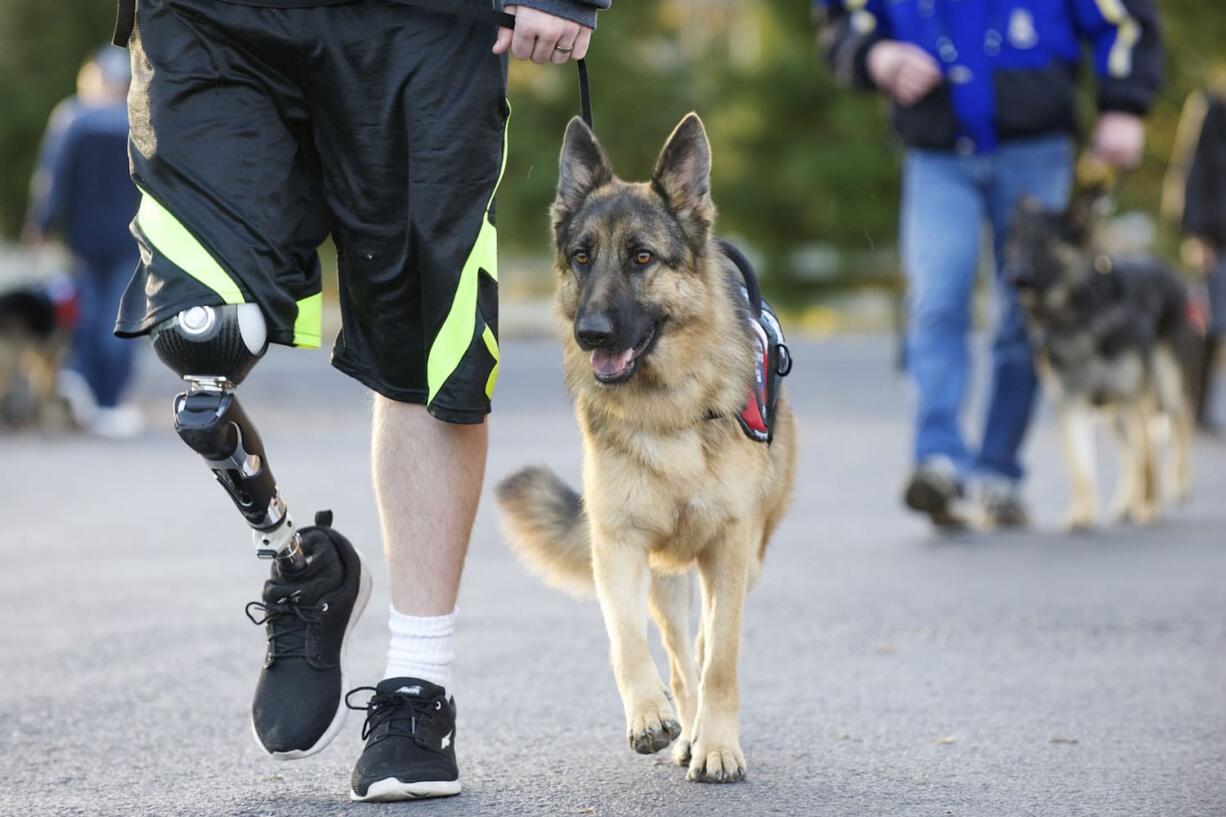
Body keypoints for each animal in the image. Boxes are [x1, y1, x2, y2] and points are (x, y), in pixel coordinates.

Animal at [495, 115, 794, 785]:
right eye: (582, 257)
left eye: (642, 258)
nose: (591, 334)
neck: (669, 408)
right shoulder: (619, 545)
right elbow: (626, 639)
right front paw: (651, 716)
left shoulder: (730, 548)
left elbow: (721, 659)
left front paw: (719, 746)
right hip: (664, 575)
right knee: (678, 654)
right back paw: (681, 727)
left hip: (743, 560)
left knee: (705, 647)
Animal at [1005, 197, 1196, 527]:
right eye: (1019, 240)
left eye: (1048, 240)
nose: (1017, 277)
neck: (1076, 315)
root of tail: (1165, 266)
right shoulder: (1071, 402)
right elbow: (1080, 468)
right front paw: (1082, 514)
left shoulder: (1139, 397)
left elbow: (1148, 459)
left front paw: (1149, 507)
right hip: (1111, 411)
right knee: (1129, 453)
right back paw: (1125, 503)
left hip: (1165, 384)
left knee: (1180, 425)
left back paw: (1176, 484)